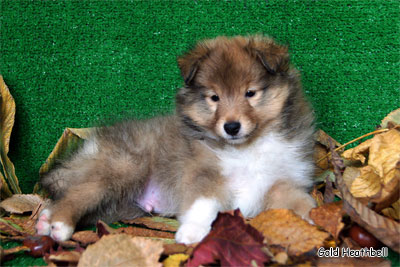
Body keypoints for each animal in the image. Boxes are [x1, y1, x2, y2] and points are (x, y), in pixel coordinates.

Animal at [35, 35, 316, 245]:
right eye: (214, 97)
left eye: (250, 93)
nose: (231, 127)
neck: (246, 148)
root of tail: (91, 144)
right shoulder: (203, 170)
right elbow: (204, 203)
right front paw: (193, 232)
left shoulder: (280, 181)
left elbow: (299, 201)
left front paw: (317, 220)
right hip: (123, 167)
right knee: (77, 194)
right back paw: (58, 224)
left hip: (115, 202)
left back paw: (46, 219)